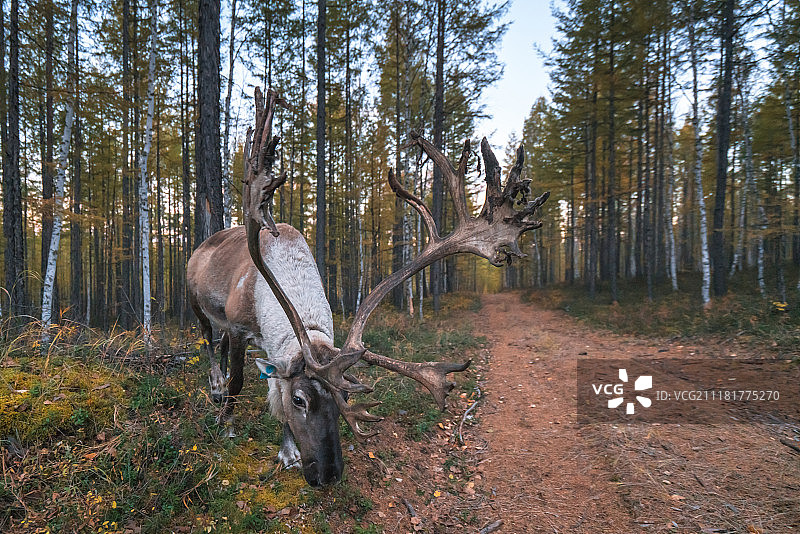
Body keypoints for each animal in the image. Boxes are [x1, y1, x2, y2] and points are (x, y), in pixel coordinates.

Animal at [186, 87, 549, 487]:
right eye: (301, 400)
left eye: (342, 401)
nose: (328, 475)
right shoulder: (240, 327)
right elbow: (242, 383)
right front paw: (227, 423)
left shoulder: (273, 347)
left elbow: (271, 387)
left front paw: (287, 450)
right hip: (196, 302)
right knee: (208, 339)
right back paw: (216, 387)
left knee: (217, 342)